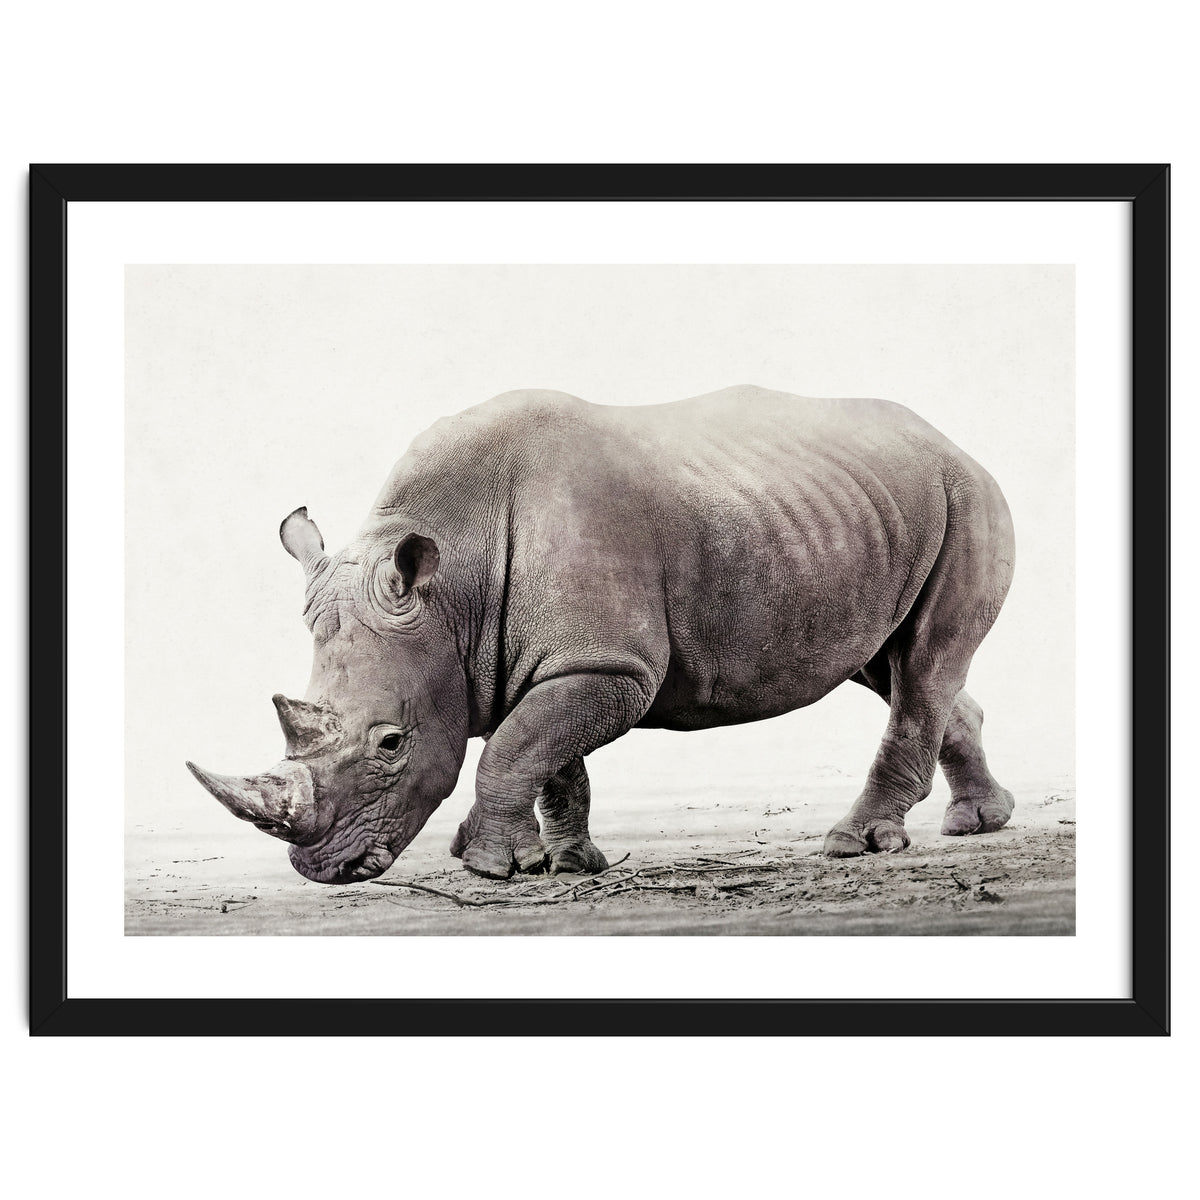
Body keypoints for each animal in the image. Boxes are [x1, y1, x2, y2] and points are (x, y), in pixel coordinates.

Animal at [187, 385, 1016, 883]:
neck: (453, 586)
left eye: (391, 743)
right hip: (860, 513)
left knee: (924, 663)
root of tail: (951, 440)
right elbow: (550, 755)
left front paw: (488, 868)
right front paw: (567, 863)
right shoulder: (557, 659)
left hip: (967, 496)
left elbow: (517, 747)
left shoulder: (609, 664)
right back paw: (978, 823)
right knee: (894, 666)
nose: (323, 869)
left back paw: (857, 844)